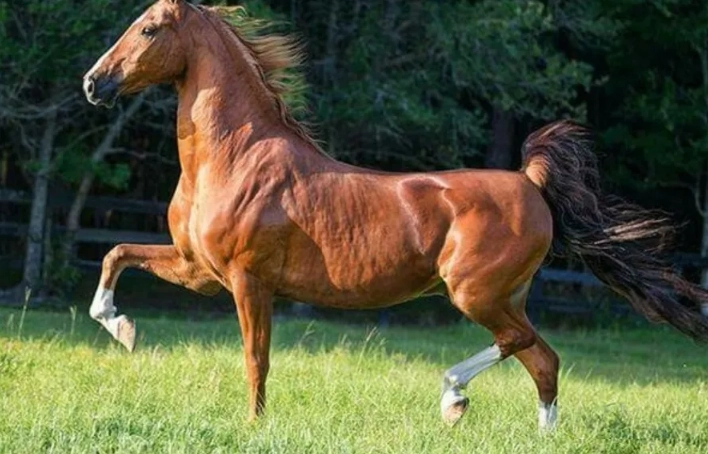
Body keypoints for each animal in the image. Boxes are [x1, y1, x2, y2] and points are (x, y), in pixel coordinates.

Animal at [82, 0, 708, 430]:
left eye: (149, 29)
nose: (94, 82)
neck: (234, 159)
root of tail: (532, 182)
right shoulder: (199, 269)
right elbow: (116, 253)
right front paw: (122, 328)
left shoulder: (246, 281)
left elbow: (256, 359)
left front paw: (254, 425)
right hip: (505, 295)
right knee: (543, 360)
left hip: (475, 293)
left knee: (522, 344)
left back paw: (453, 397)